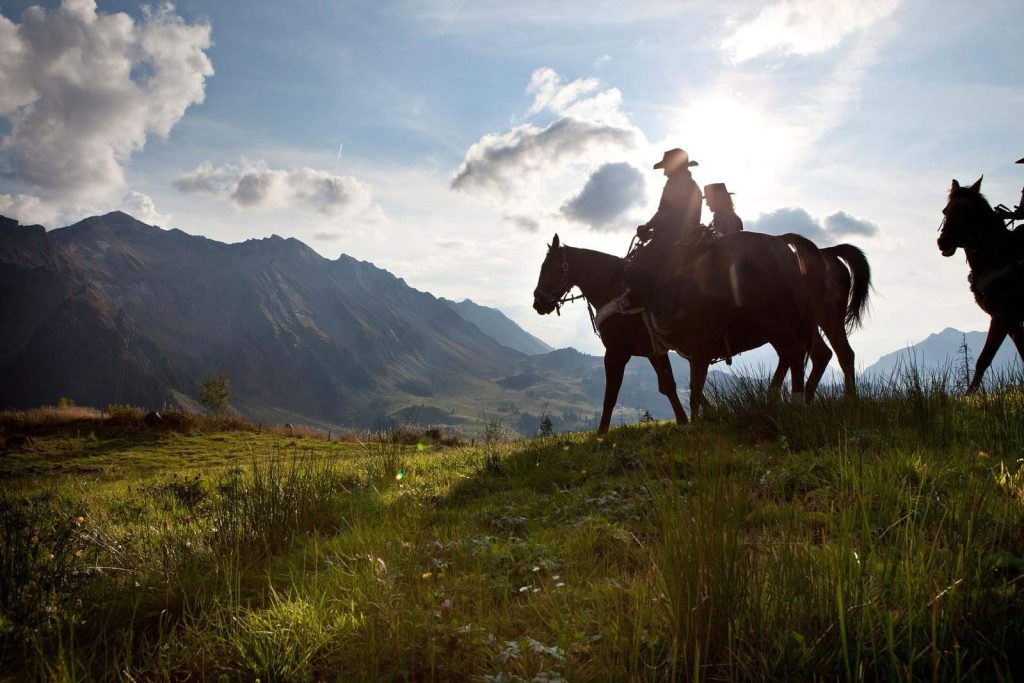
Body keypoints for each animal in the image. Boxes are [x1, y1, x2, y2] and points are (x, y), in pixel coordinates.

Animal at [937, 176, 1024, 393]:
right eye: (945, 211)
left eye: (968, 210)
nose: (943, 242)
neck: (999, 256)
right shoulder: (1012, 322)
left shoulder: (1003, 316)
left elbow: (983, 359)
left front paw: (968, 396)